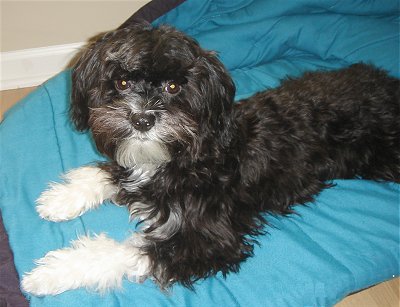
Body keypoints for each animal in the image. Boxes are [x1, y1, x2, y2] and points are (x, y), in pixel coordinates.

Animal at [21, 24, 400, 296]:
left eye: (174, 87)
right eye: (123, 82)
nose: (141, 119)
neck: (191, 153)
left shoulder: (210, 239)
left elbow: (127, 250)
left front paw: (50, 273)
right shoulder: (136, 165)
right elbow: (108, 172)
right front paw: (58, 200)